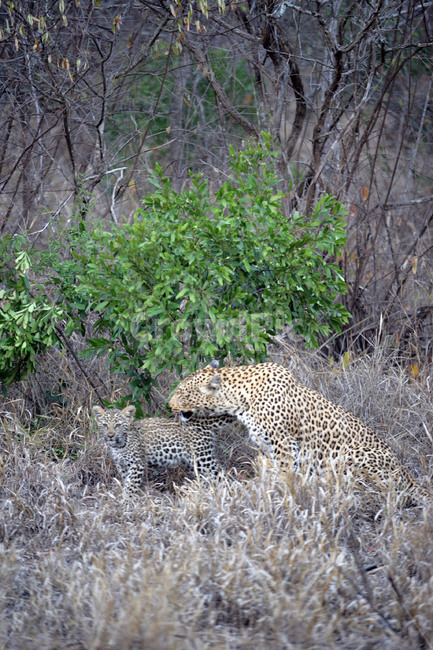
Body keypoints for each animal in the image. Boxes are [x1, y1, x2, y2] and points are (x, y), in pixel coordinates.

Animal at [92, 404, 236, 496]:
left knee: (221, 474)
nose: (110, 435)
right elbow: (128, 482)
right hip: (193, 462)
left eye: (118, 425)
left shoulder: (136, 464)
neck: (119, 445)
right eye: (105, 425)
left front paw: (126, 502)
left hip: (203, 457)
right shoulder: (122, 465)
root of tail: (200, 421)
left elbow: (131, 485)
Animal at [168, 361, 432, 505]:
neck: (240, 398)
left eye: (182, 393)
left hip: (354, 455)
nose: (169, 406)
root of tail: (408, 475)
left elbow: (284, 473)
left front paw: (283, 493)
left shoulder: (283, 442)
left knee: (378, 491)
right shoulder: (267, 446)